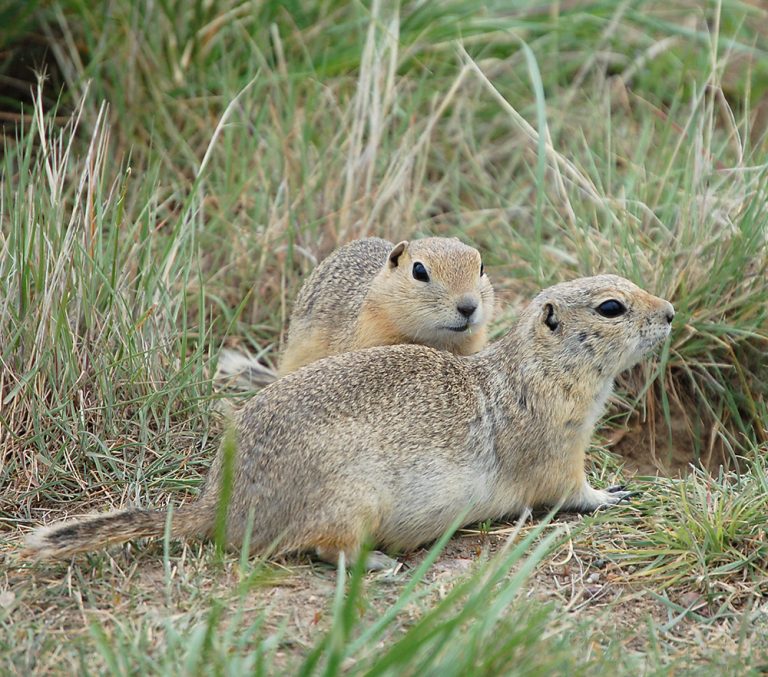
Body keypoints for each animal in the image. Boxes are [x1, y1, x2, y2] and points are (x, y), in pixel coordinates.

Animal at [22, 274, 672, 564]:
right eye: (611, 307)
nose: (669, 311)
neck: (540, 367)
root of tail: (218, 506)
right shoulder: (557, 448)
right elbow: (568, 491)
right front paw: (611, 494)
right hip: (350, 503)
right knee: (319, 548)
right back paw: (377, 563)